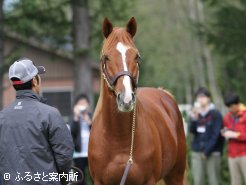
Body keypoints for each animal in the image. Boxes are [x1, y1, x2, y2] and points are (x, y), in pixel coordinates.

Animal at [87, 17, 185, 185]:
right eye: (106, 57)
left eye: (136, 56)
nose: (126, 99)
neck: (119, 139)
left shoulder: (149, 181)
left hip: (176, 175)